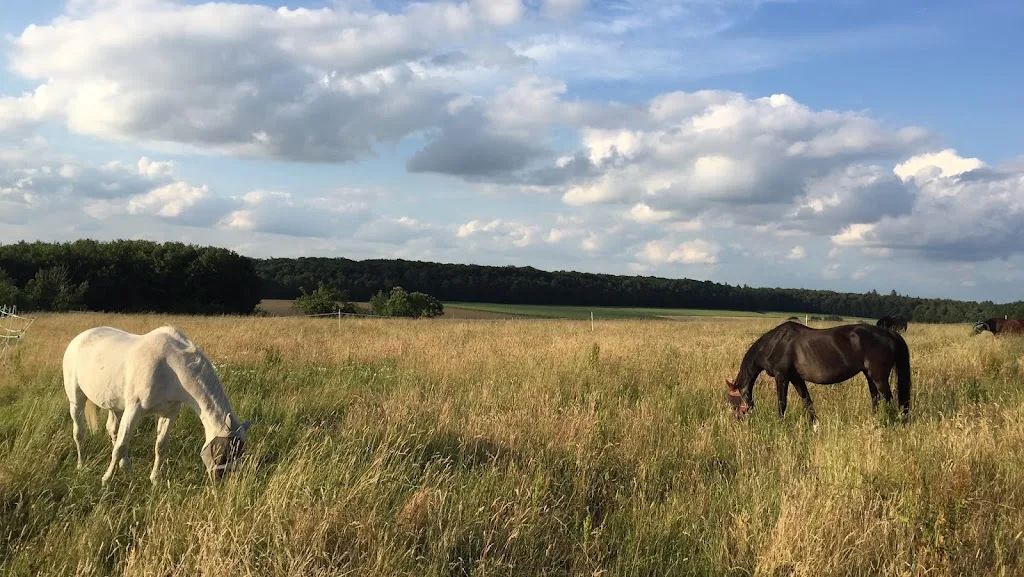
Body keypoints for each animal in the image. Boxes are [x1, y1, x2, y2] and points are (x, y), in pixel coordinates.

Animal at [62, 325, 252, 486]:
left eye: (240, 452)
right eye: (224, 450)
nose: (220, 480)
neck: (170, 367)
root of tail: (79, 338)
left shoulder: (169, 412)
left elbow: (160, 446)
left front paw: (155, 480)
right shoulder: (134, 409)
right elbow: (121, 446)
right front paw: (106, 479)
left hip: (114, 405)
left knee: (112, 430)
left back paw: (126, 467)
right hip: (76, 400)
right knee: (79, 432)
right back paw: (81, 465)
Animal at [724, 321, 912, 424]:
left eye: (733, 402)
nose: (737, 420)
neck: (774, 343)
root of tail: (890, 333)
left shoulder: (782, 376)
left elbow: (782, 402)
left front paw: (780, 423)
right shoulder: (796, 378)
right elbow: (807, 401)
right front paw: (815, 424)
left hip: (879, 377)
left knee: (888, 399)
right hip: (869, 376)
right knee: (875, 399)